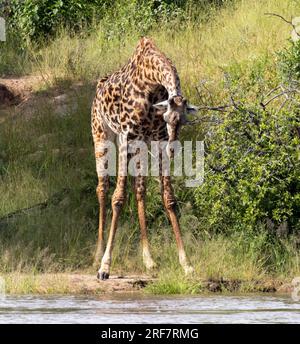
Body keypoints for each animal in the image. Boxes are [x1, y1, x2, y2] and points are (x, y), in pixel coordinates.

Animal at [91, 37, 199, 280]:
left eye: (184, 121)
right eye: (167, 117)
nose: (173, 149)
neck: (152, 84)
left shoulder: (157, 140)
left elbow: (169, 198)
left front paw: (187, 264)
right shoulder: (126, 136)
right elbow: (118, 198)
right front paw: (105, 267)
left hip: (140, 146)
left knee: (139, 189)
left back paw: (148, 260)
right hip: (102, 136)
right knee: (103, 188)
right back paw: (97, 255)